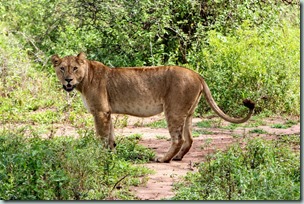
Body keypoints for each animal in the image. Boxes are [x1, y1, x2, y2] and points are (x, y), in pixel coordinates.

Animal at [51, 52, 254, 163]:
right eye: (62, 68)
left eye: (74, 68)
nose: (68, 80)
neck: (83, 81)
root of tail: (197, 74)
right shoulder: (106, 112)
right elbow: (111, 137)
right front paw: (112, 155)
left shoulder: (100, 112)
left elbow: (102, 138)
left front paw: (100, 157)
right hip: (187, 113)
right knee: (189, 139)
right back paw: (178, 157)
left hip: (173, 110)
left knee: (178, 139)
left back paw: (164, 159)